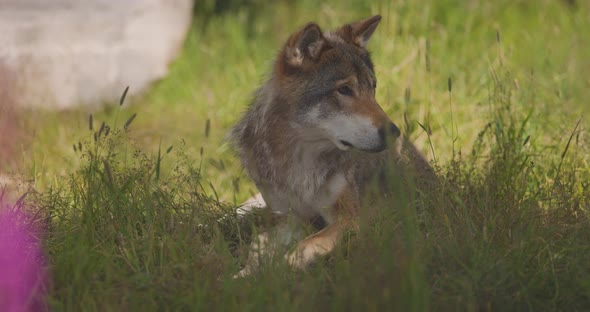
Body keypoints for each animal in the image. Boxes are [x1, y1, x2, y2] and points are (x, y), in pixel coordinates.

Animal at [231, 15, 440, 278]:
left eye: (373, 87)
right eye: (344, 90)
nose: (394, 133)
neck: (300, 159)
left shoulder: (355, 215)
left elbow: (307, 245)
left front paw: (284, 267)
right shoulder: (295, 216)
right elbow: (259, 242)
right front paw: (244, 274)